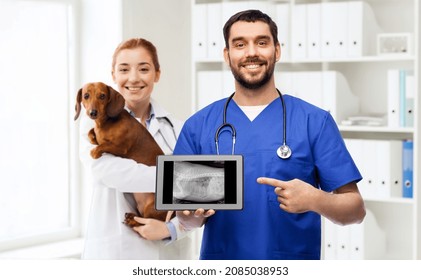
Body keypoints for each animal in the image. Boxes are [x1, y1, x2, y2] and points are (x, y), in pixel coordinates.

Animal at [74, 82, 173, 226]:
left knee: (146, 221)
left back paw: (132, 220)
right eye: (86, 96)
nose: (93, 113)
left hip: (151, 208)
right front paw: (93, 138)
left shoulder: (121, 148)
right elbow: (91, 133)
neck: (105, 123)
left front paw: (95, 151)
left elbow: (103, 145)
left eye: (102, 96)